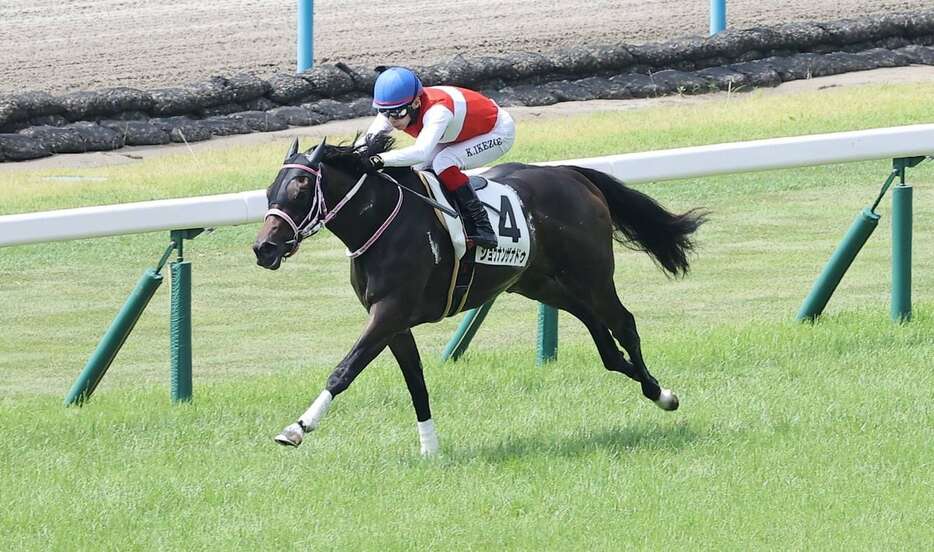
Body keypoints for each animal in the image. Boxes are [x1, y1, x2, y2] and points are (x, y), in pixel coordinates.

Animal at [252, 136, 704, 454]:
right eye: (270, 191)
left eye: (299, 190)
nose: (263, 248)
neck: (382, 221)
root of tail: (573, 175)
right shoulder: (392, 322)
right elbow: (415, 382)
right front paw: (430, 449)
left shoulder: (389, 312)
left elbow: (344, 370)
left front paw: (297, 428)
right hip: (537, 281)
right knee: (600, 334)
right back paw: (637, 376)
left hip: (591, 274)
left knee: (624, 323)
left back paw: (661, 394)